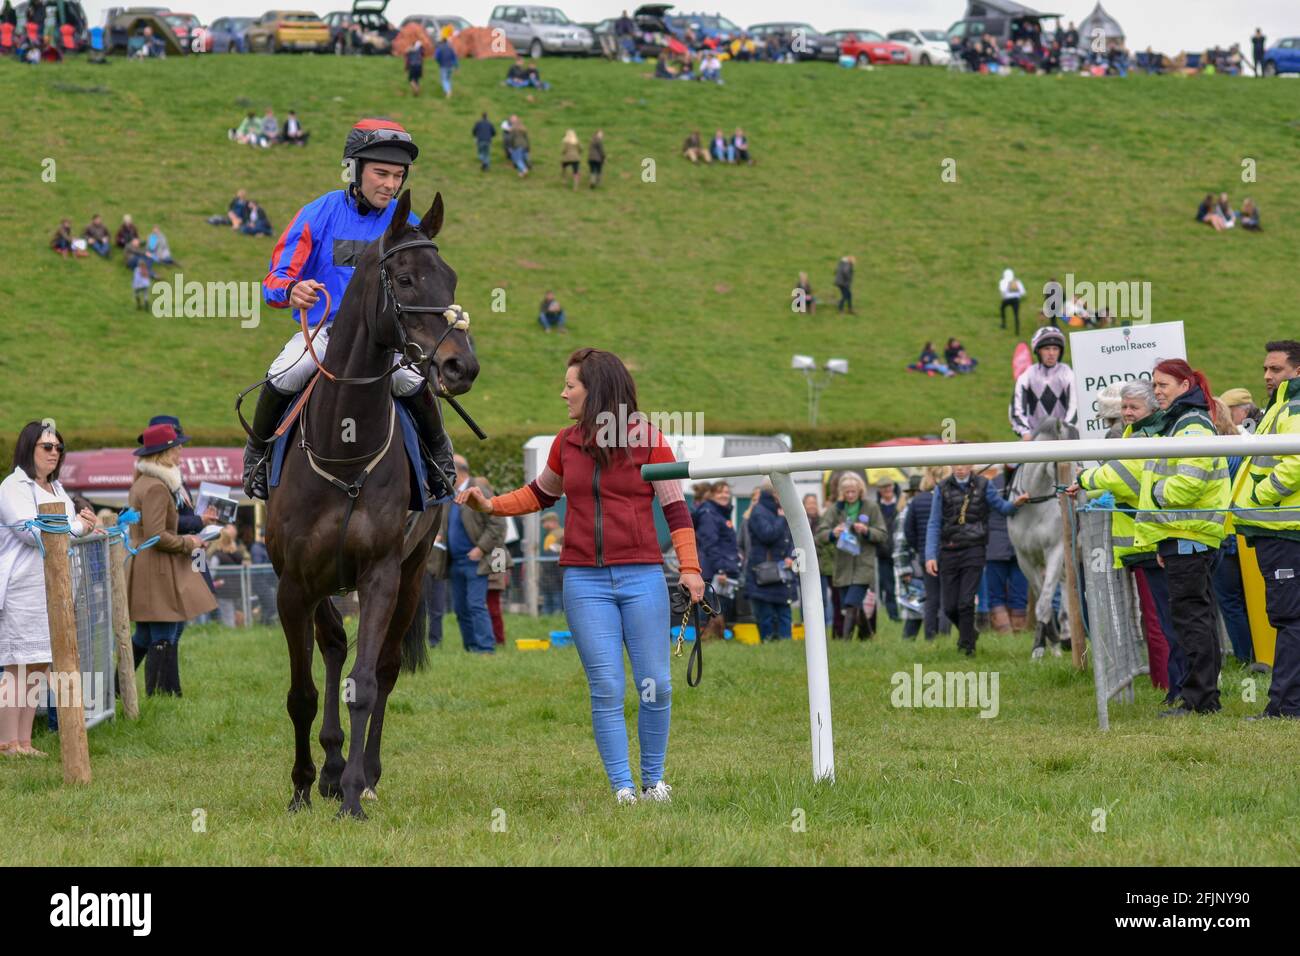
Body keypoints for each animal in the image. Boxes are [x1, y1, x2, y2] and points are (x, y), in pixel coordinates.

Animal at [263, 191, 478, 816]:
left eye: (450, 277)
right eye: (404, 279)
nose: (460, 365)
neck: (345, 449)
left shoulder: (381, 573)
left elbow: (364, 684)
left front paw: (355, 792)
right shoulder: (293, 583)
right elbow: (303, 691)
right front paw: (304, 786)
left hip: (412, 571)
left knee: (382, 670)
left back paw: (363, 774)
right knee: (334, 648)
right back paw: (331, 768)